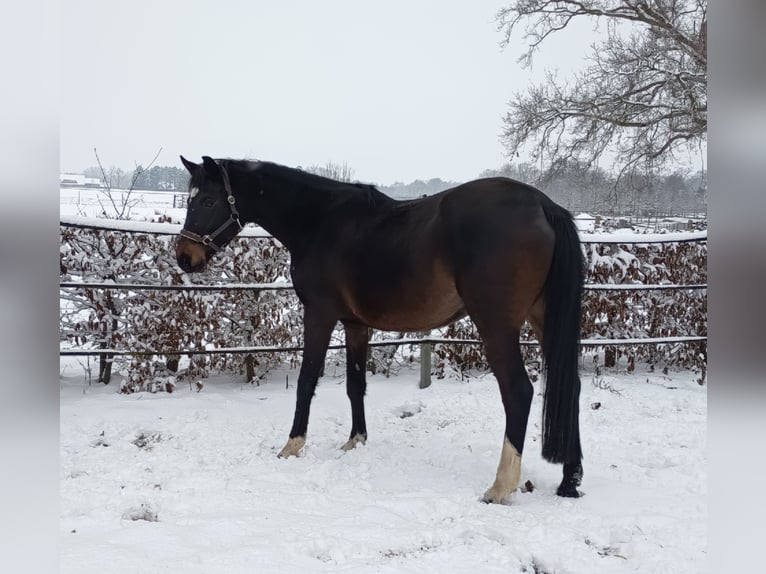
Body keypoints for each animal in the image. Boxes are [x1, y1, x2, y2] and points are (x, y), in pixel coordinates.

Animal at [176, 155, 584, 503]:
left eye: (208, 201)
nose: (184, 257)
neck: (319, 221)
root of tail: (543, 205)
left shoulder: (319, 315)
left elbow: (307, 380)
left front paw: (291, 446)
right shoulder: (355, 325)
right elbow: (355, 384)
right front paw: (355, 441)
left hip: (496, 324)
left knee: (518, 391)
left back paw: (501, 486)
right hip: (542, 318)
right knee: (570, 385)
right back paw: (570, 480)